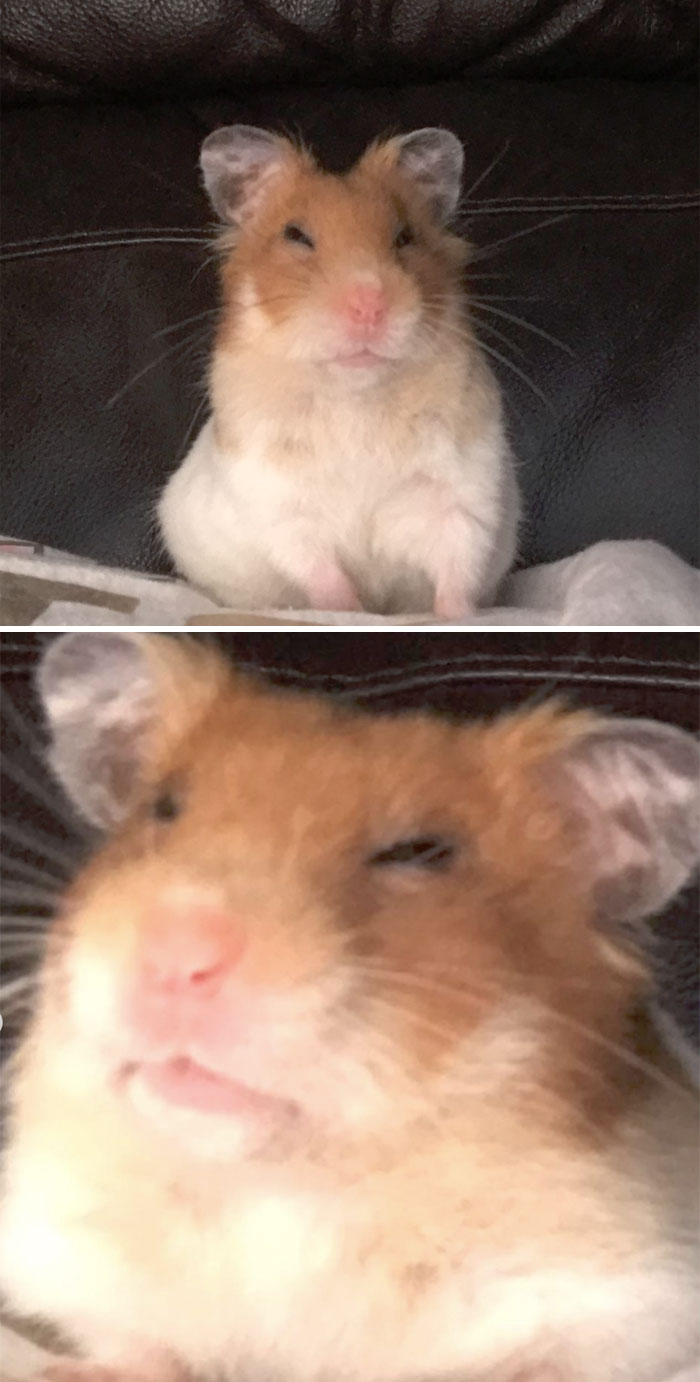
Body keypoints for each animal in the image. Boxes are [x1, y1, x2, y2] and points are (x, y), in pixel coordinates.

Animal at [1, 632, 698, 1382]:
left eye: (418, 853)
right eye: (164, 808)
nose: (177, 955)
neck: (280, 1188)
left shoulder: (626, 1309)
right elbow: (138, 1346)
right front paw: (65, 1372)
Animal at [158, 126, 520, 616]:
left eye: (406, 236)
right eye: (296, 235)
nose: (369, 306)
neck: (355, 393)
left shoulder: (458, 494)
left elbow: (456, 569)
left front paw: (456, 617)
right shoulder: (283, 510)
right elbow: (323, 575)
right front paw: (350, 612)